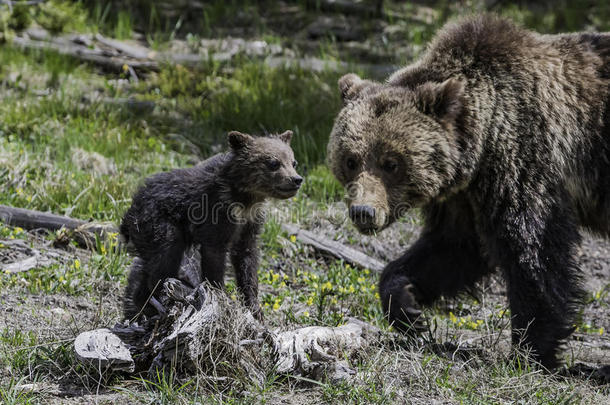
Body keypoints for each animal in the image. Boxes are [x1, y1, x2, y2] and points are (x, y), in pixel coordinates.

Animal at [328, 14, 608, 368]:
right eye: (351, 160)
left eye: (391, 163)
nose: (364, 212)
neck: (479, 145)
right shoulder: (462, 196)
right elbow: (454, 247)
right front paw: (407, 307)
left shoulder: (523, 158)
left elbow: (533, 249)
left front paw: (531, 350)